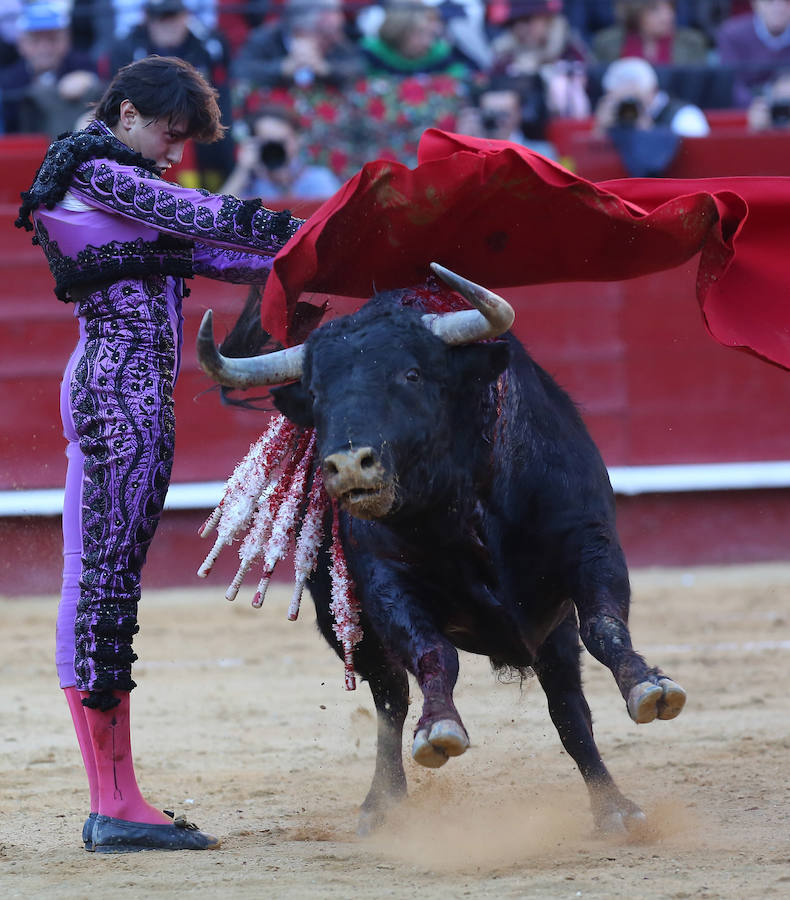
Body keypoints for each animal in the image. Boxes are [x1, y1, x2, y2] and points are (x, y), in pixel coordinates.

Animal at [198, 268, 688, 836]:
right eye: (318, 392)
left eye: (412, 374)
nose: (348, 465)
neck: (457, 501)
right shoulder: (386, 584)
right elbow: (434, 656)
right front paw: (438, 728)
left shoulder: (588, 543)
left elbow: (604, 627)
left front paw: (649, 686)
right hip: (345, 622)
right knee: (390, 700)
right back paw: (380, 806)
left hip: (551, 632)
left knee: (568, 707)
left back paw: (614, 808)